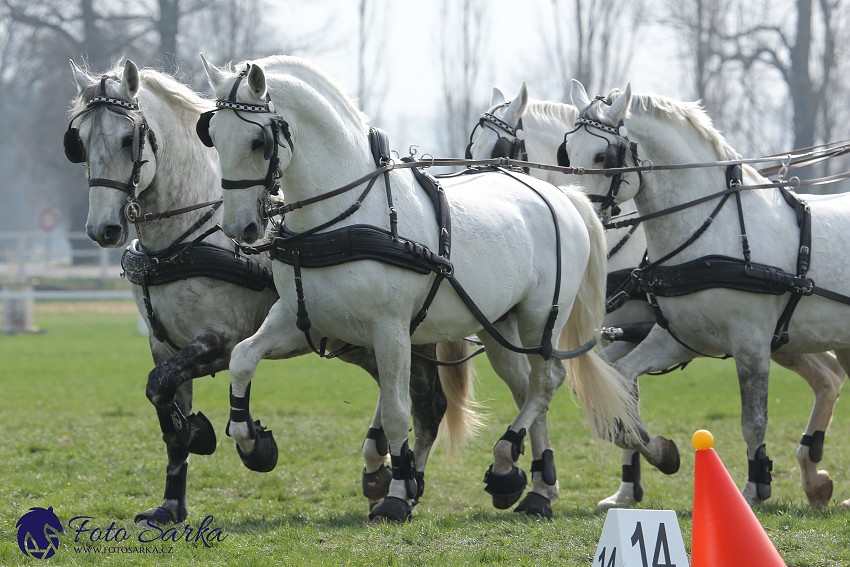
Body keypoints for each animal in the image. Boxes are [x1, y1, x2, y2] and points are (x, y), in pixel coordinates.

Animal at [66, 60, 476, 524]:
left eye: (127, 138)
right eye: (79, 142)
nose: (103, 229)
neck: (184, 241)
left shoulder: (221, 339)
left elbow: (164, 384)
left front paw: (217, 438)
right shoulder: (162, 344)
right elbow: (162, 397)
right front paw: (172, 499)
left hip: (409, 335)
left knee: (427, 405)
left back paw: (409, 485)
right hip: (364, 341)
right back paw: (380, 474)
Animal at [199, 55, 644, 520]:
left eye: (257, 141)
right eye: (211, 134)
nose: (240, 228)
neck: (344, 217)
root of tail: (562, 195)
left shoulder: (390, 330)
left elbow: (398, 413)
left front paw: (397, 495)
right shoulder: (302, 319)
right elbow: (242, 357)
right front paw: (252, 442)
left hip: (541, 319)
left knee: (546, 382)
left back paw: (509, 462)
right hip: (498, 326)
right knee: (526, 387)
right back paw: (537, 484)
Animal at [468, 83, 844, 510]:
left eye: (603, 156)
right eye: (567, 152)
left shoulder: (738, 341)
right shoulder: (648, 335)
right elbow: (618, 396)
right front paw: (629, 482)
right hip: (793, 338)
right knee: (829, 378)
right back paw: (814, 478)